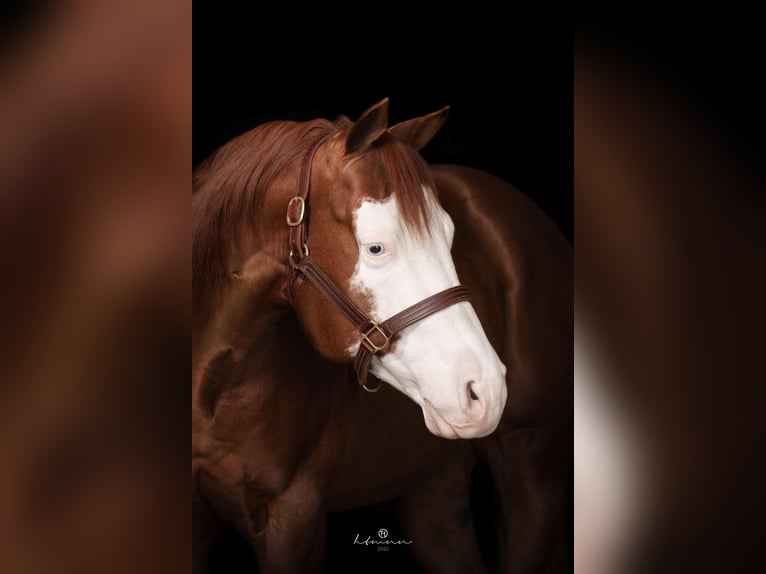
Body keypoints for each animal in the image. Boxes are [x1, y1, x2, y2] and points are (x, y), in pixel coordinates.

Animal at [195, 100, 572, 574]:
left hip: (535, 465)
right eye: (376, 247)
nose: (484, 390)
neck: (217, 390)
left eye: (451, 238)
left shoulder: (293, 521)